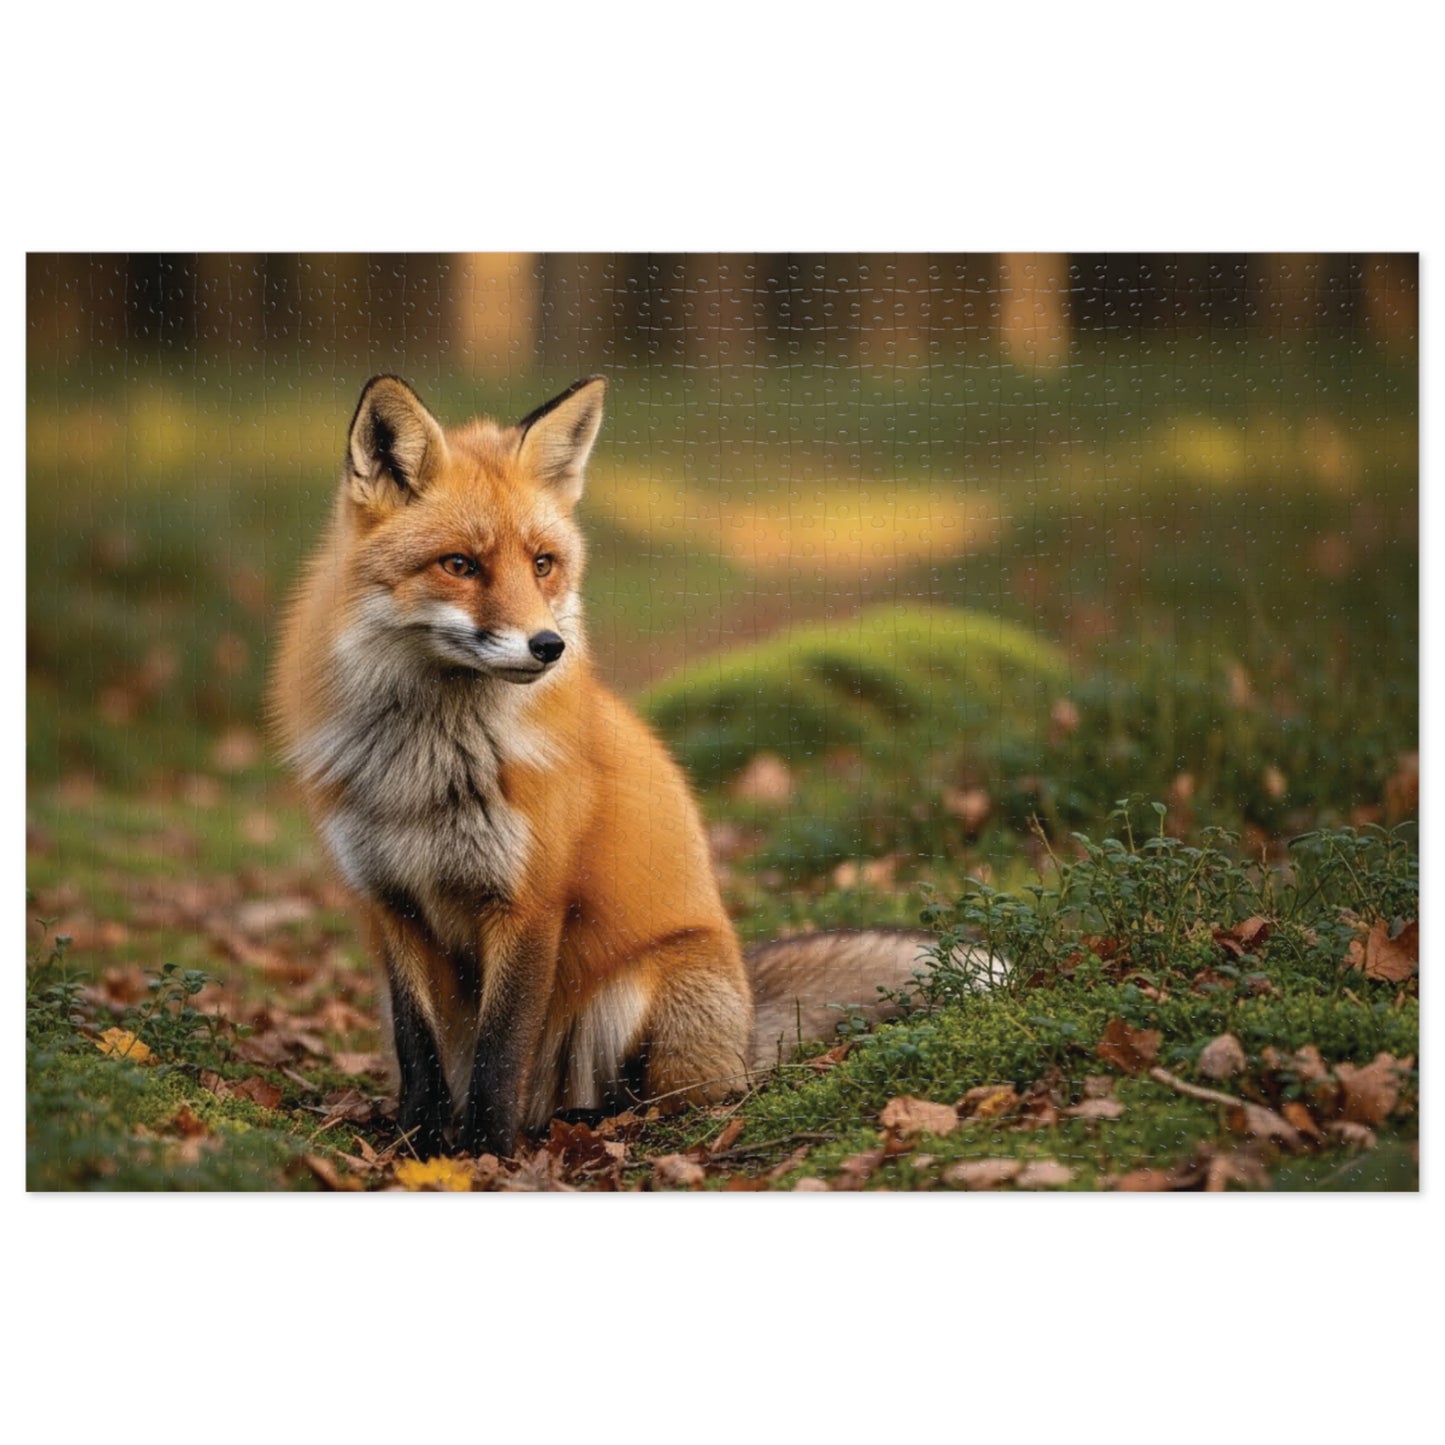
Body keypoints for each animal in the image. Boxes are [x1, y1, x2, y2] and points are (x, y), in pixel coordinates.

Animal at [272, 374, 978, 1159]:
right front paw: (418, 1148)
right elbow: (419, 1049)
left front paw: (484, 1152)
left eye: (542, 563)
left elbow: (499, 1055)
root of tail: (745, 1015)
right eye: (460, 565)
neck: (423, 766)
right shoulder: (389, 904)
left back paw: (585, 1123)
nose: (547, 646)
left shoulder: (530, 901)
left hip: (637, 992)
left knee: (674, 1097)